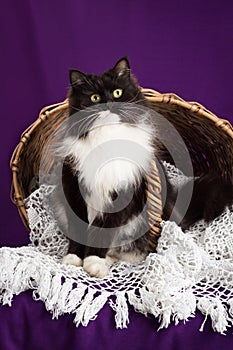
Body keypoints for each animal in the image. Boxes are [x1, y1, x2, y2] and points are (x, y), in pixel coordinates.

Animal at [51, 57, 233, 278]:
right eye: (94, 97)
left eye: (117, 93)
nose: (109, 103)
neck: (106, 136)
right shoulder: (73, 190)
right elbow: (78, 232)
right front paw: (74, 259)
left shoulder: (122, 194)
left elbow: (102, 233)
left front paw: (93, 262)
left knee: (133, 251)